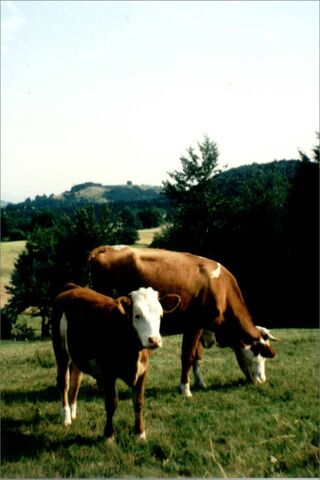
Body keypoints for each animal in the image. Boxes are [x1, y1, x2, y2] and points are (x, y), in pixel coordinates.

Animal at [51, 284, 179, 440]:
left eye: (160, 315)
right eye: (137, 315)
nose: (154, 340)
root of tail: (73, 288)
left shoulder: (143, 371)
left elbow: (138, 402)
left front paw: (140, 433)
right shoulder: (108, 373)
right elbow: (111, 403)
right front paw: (109, 434)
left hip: (76, 355)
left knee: (75, 381)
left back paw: (73, 411)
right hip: (60, 350)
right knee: (64, 382)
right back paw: (66, 416)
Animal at [87, 246, 278, 396]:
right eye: (260, 353)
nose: (262, 379)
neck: (221, 290)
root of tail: (106, 248)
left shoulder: (200, 329)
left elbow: (196, 357)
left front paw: (200, 383)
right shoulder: (195, 325)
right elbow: (187, 356)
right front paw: (185, 389)